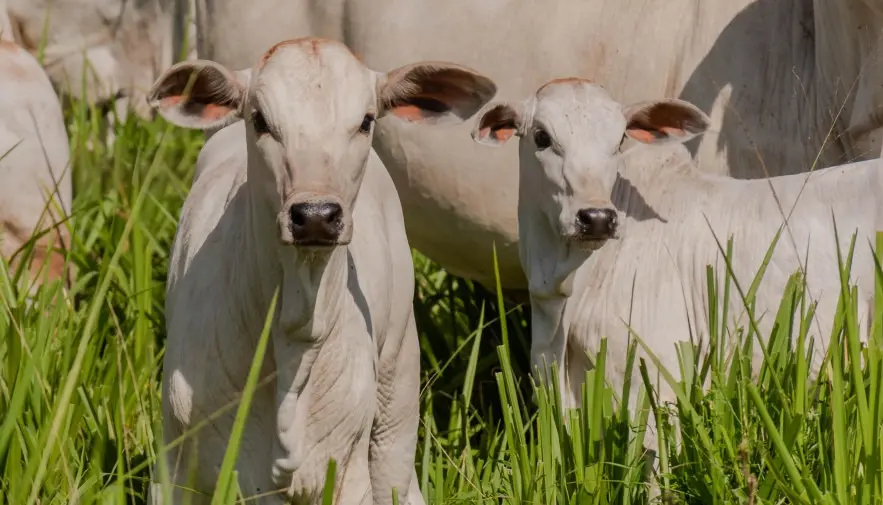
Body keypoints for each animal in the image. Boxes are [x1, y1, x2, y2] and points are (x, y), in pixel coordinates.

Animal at [148, 37, 500, 502]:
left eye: (366, 121)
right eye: (259, 120)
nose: (315, 216)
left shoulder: (348, 473)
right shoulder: (177, 467)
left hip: (397, 390)